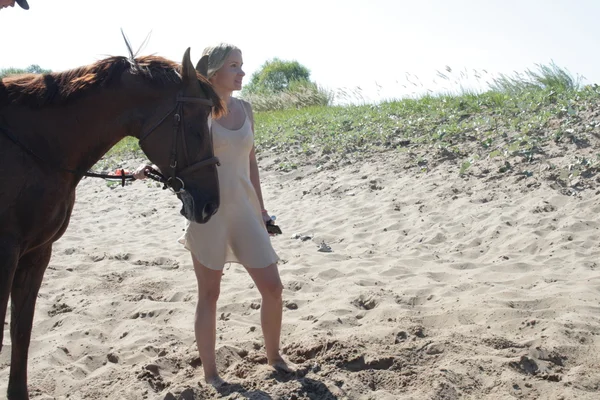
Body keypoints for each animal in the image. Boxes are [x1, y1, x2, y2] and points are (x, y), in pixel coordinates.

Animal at [0, 48, 225, 398]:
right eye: (195, 125)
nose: (210, 204)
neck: (36, 145)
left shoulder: (36, 253)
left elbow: (21, 331)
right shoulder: (6, 254)